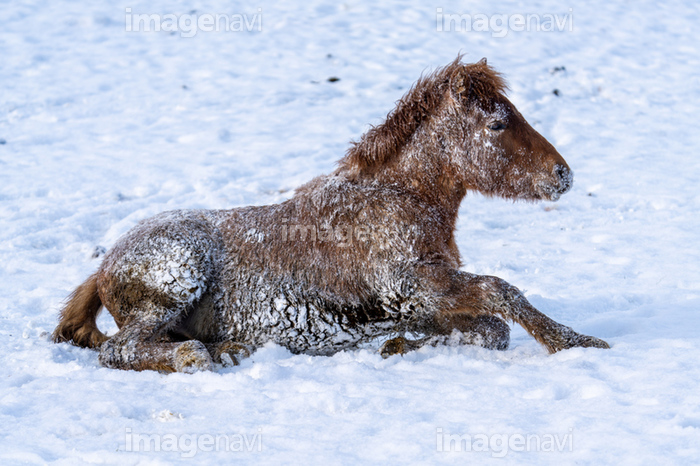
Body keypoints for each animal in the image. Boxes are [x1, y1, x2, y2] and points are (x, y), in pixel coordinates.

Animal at [53, 56, 608, 374]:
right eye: (496, 124)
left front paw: (400, 344)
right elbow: (501, 292)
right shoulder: (413, 284)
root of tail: (103, 269)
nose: (562, 175)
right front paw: (575, 342)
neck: (398, 199)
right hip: (177, 278)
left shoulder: (423, 299)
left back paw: (228, 348)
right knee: (122, 350)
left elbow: (492, 327)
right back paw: (201, 356)